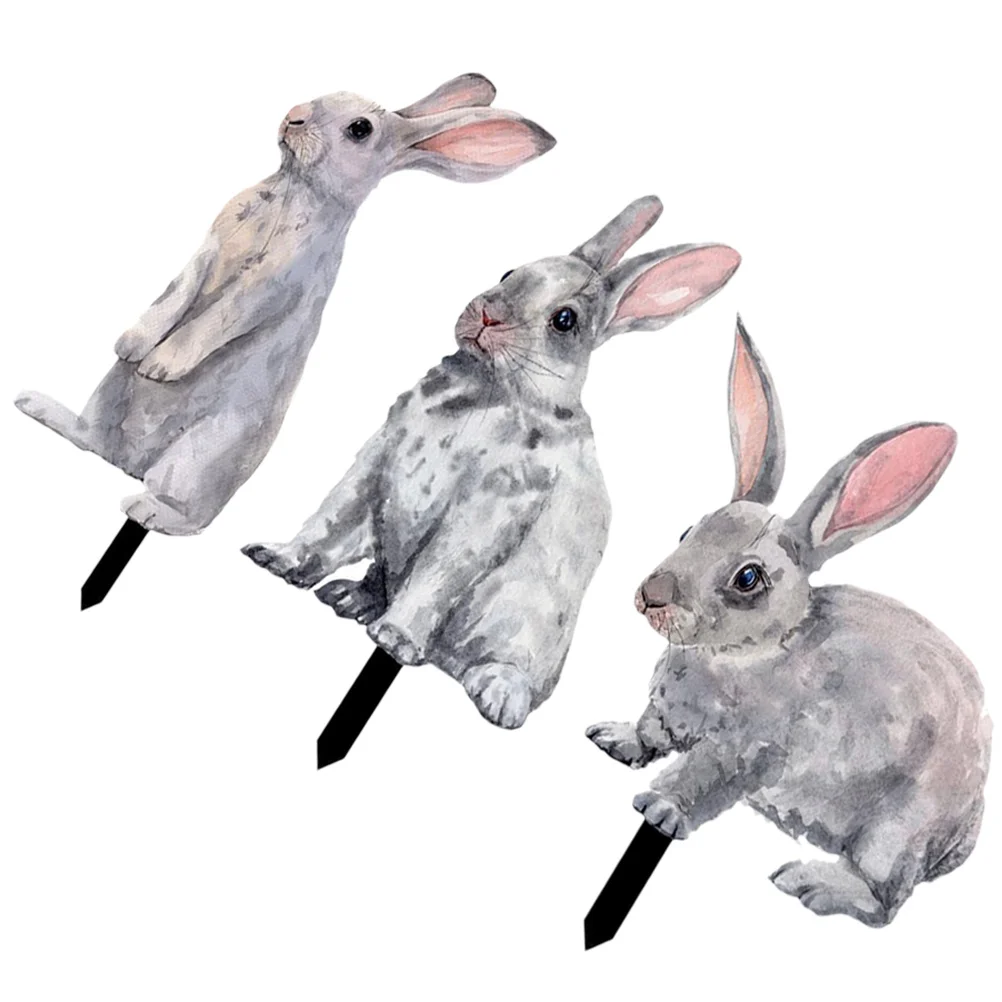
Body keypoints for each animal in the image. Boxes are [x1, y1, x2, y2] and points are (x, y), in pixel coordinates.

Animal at [14, 74, 554, 535]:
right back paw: (35, 405)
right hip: (108, 395)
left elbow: (220, 317)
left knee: (187, 514)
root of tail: (132, 463)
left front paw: (162, 367)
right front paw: (133, 346)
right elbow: (177, 293)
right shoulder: (205, 254)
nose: (293, 116)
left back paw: (148, 509)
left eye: (360, 129)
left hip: (200, 457)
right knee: (90, 441)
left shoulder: (271, 285)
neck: (293, 190)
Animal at [242, 196, 741, 729]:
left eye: (564, 320)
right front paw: (274, 557)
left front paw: (393, 637)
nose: (487, 314)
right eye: (511, 271)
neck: (488, 386)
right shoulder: (380, 458)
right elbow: (331, 521)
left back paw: (497, 698)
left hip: (521, 633)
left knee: (506, 671)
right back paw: (349, 597)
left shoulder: (489, 507)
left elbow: (438, 572)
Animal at [587, 318, 991, 927]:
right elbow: (652, 730)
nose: (651, 597)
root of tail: (966, 830)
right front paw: (614, 739)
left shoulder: (747, 749)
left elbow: (700, 778)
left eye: (748, 579)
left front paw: (658, 809)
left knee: (883, 903)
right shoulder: (668, 714)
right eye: (689, 530)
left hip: (895, 832)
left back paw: (812, 884)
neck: (750, 652)